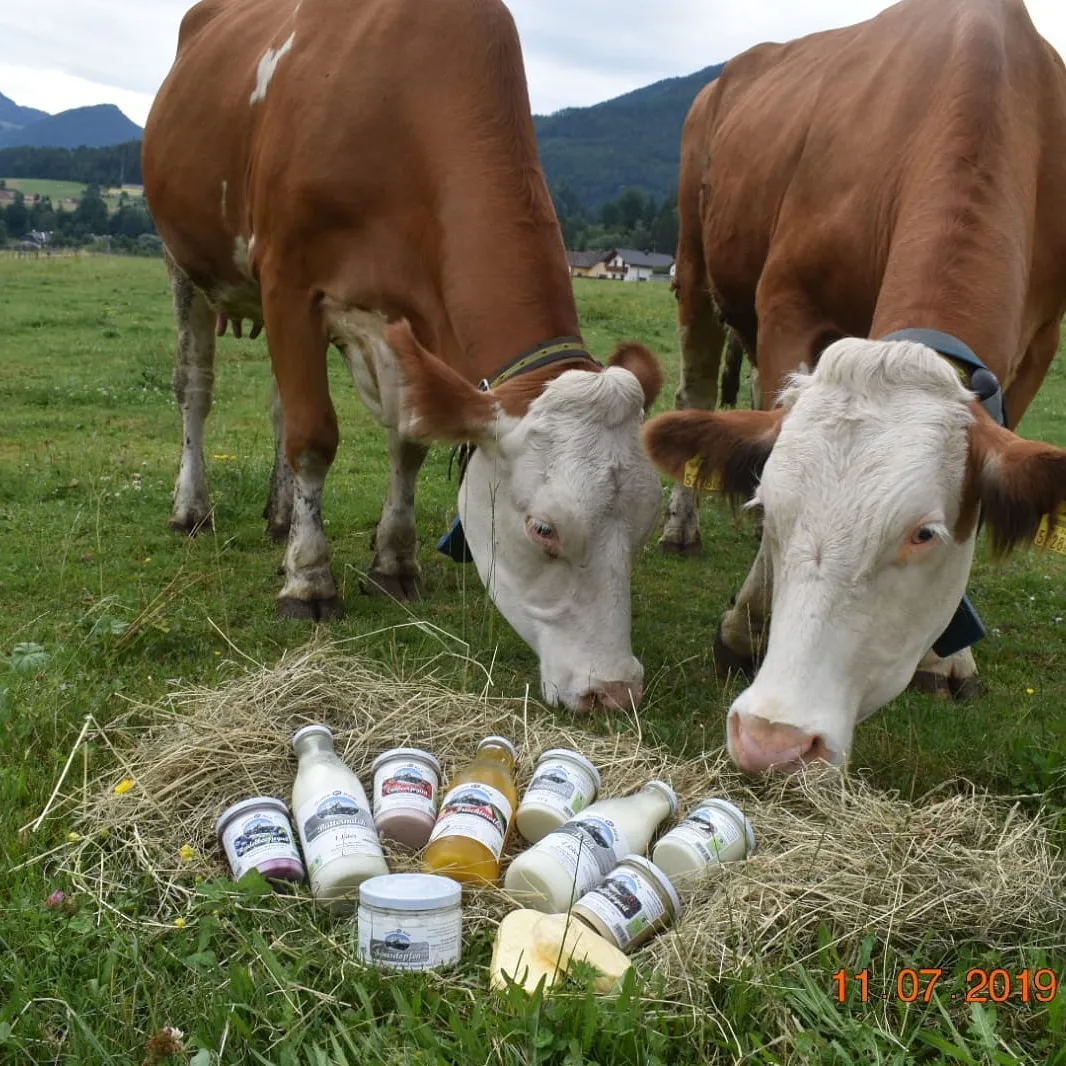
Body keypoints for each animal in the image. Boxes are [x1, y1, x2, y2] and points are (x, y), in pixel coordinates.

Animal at [143, 0, 666, 713]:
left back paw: (280, 517)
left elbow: (409, 440)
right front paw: (309, 581)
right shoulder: (288, 282)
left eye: (644, 527)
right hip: (184, 263)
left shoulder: (409, 322)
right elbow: (314, 438)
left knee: (278, 405)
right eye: (543, 529)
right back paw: (193, 509)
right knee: (195, 388)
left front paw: (393, 564)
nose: (614, 691)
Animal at [644, 0, 1066, 770]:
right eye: (773, 506)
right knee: (697, 392)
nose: (774, 737)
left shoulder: (1040, 342)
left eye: (925, 533)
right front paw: (746, 624)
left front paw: (946, 659)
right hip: (696, 265)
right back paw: (683, 527)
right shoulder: (788, 300)